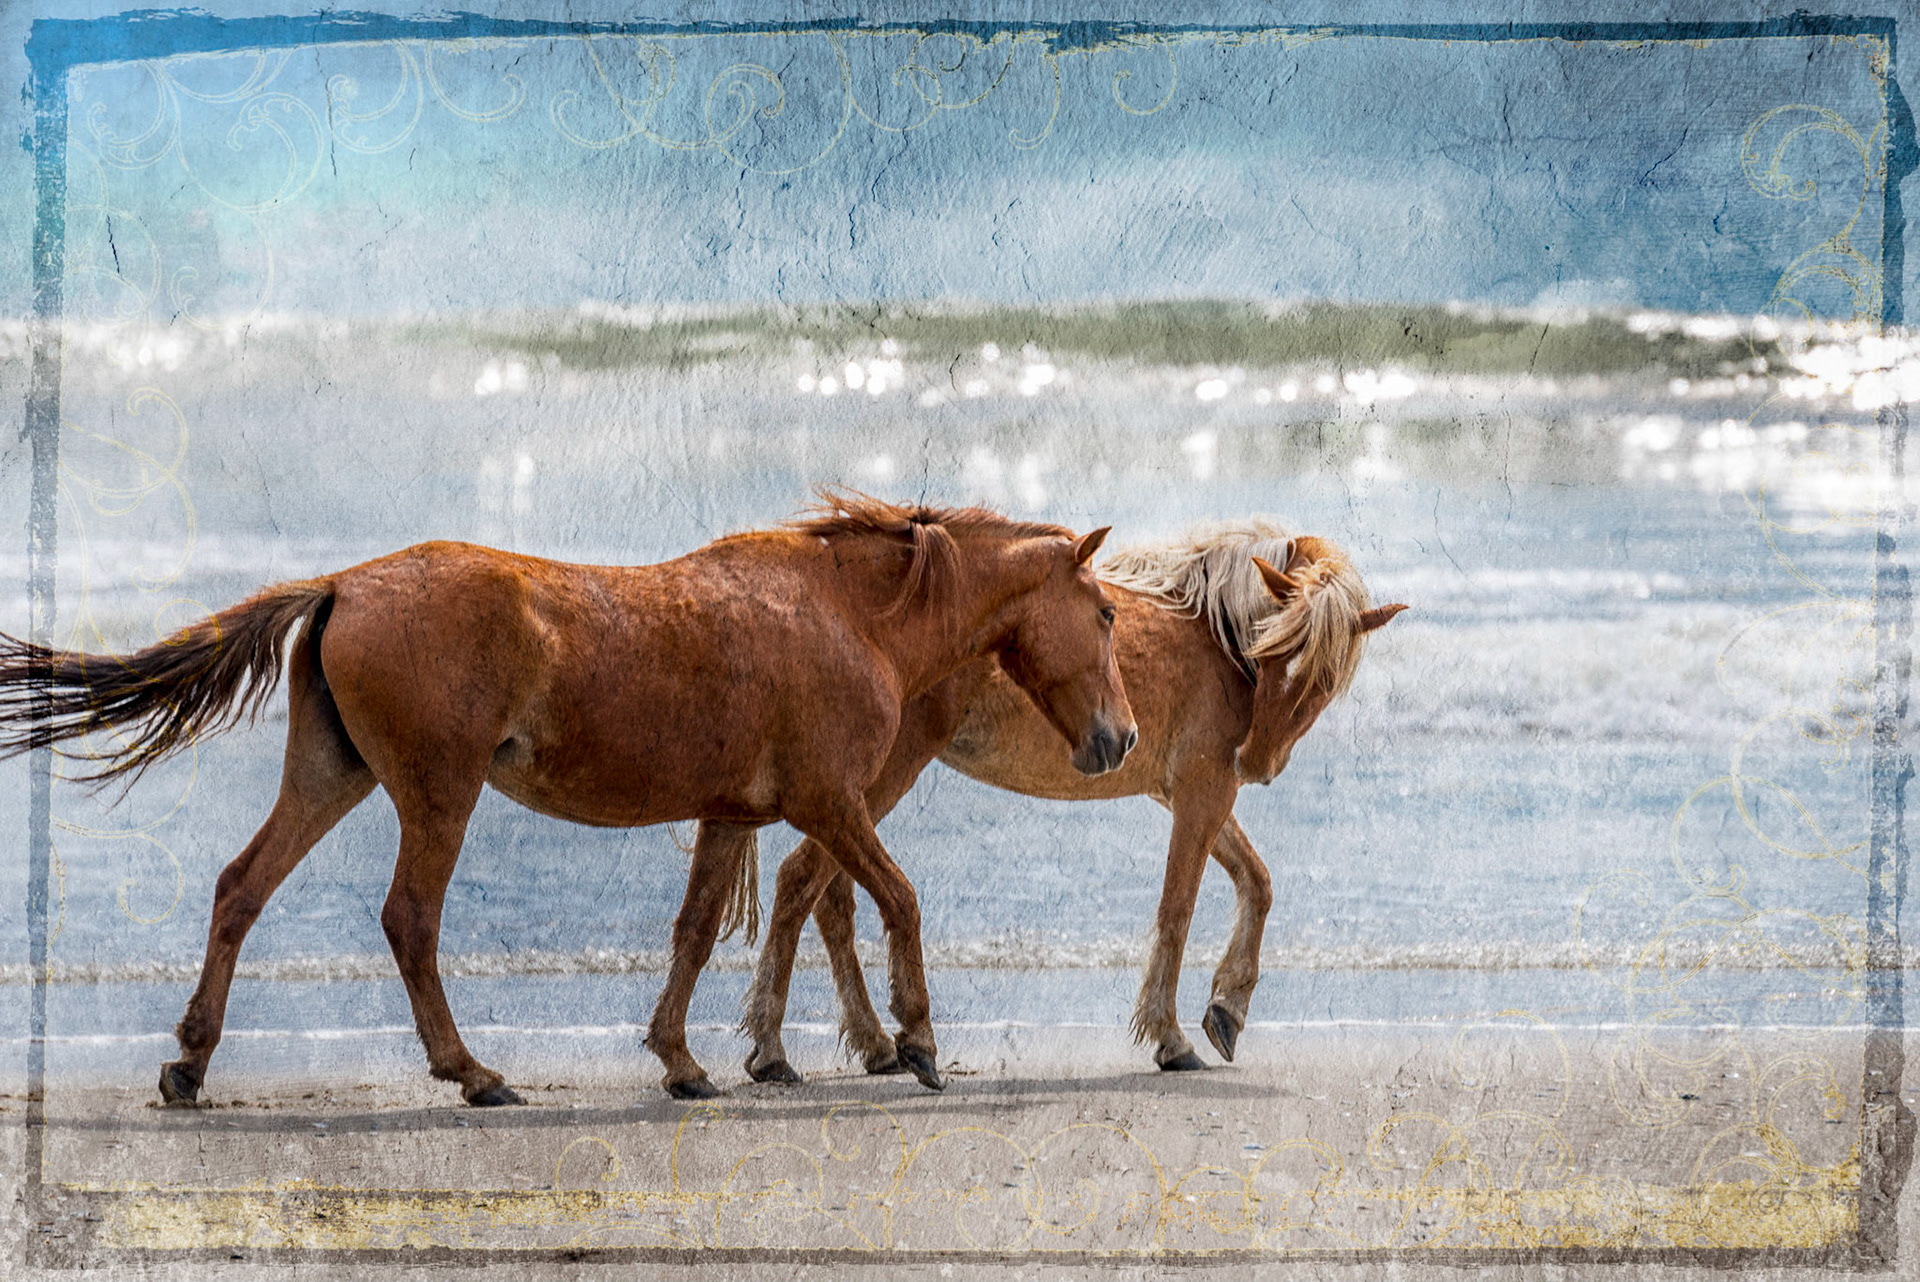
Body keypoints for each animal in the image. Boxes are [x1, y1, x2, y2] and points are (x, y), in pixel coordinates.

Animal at [0, 494, 1137, 1103]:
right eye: (1106, 616)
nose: (1117, 739)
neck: (846, 613)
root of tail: (342, 585)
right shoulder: (829, 803)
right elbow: (897, 899)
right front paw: (918, 1043)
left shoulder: (732, 814)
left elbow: (692, 933)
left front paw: (682, 1061)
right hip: (438, 795)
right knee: (409, 920)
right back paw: (472, 1072)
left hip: (332, 776)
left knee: (242, 888)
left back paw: (190, 1066)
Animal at [724, 521, 1405, 1082]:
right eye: (1269, 652)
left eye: (1323, 678)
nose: (1256, 762)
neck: (1212, 631)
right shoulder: (1204, 792)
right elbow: (1178, 910)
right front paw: (1170, 1036)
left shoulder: (1194, 793)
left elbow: (1256, 884)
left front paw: (1227, 1008)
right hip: (878, 778)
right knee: (803, 881)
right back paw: (776, 1048)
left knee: (829, 896)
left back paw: (871, 1044)